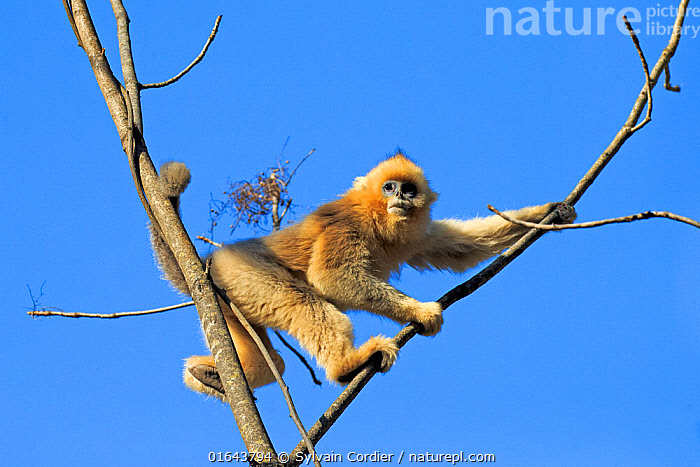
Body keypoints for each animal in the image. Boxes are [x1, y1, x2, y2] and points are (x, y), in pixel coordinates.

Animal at [150, 152, 575, 400]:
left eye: (408, 189)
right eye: (389, 187)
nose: (400, 197)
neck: (377, 219)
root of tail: (211, 257)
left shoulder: (416, 235)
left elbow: (463, 247)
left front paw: (550, 213)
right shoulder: (347, 225)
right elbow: (329, 279)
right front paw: (421, 312)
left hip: (225, 299)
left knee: (272, 358)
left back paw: (218, 374)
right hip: (244, 272)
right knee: (306, 304)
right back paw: (347, 366)